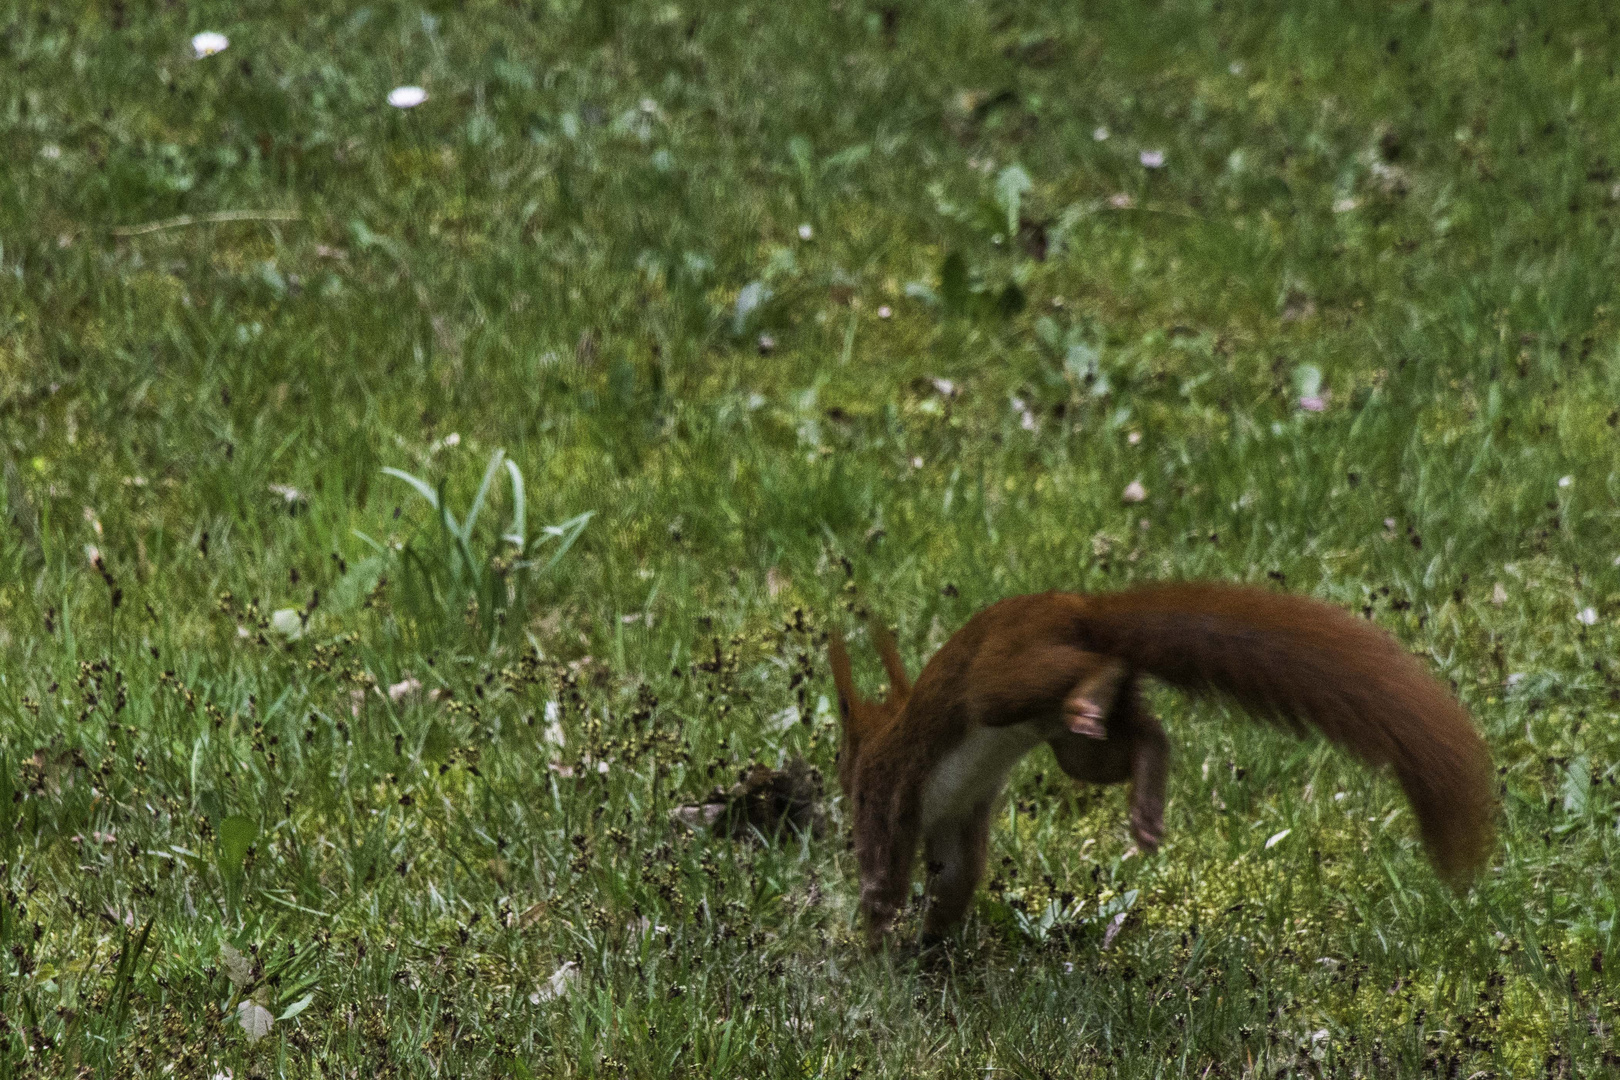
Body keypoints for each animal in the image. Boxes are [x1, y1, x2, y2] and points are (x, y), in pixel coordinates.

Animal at [829, 582, 1496, 945]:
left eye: (843, 762)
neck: (883, 731)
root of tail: (1076, 609)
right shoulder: (954, 814)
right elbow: (953, 875)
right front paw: (928, 942)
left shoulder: (887, 789)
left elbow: (886, 861)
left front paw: (878, 940)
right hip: (1077, 747)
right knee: (1146, 731)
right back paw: (1146, 800)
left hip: (1000, 679)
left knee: (1069, 676)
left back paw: (1093, 690)